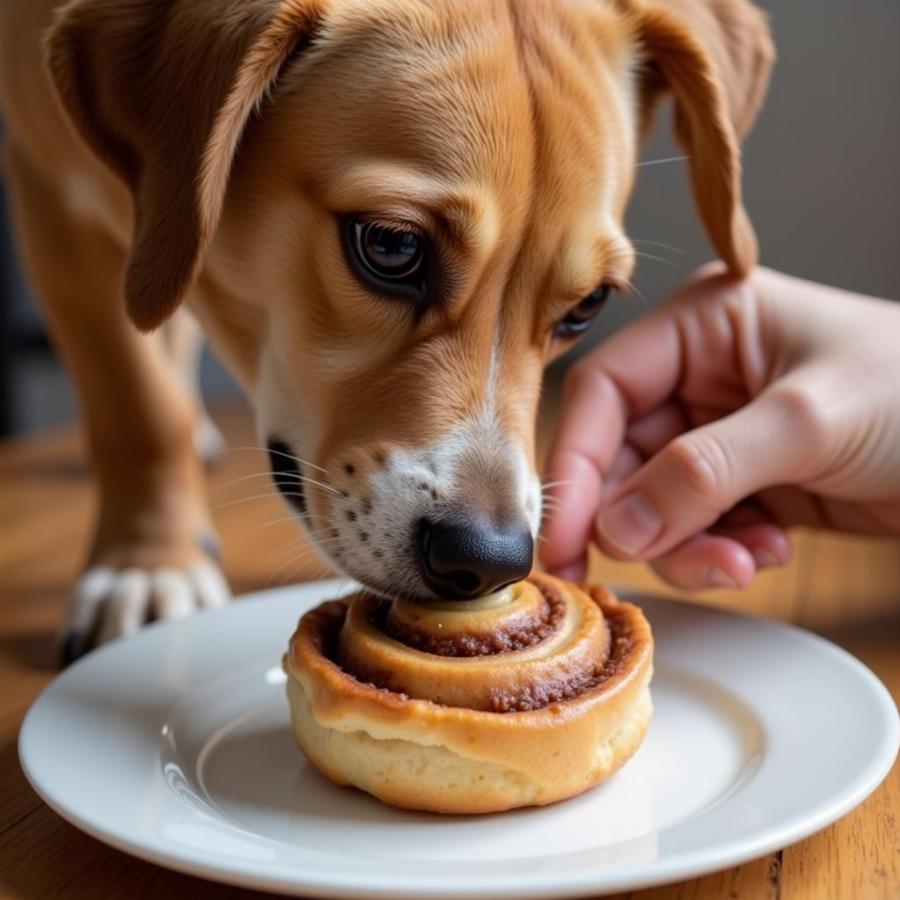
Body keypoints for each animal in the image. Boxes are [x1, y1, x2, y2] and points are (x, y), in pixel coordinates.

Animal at [0, 0, 772, 660]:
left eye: (590, 305)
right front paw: (149, 567)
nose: (488, 561)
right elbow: (139, 407)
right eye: (392, 246)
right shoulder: (52, 198)